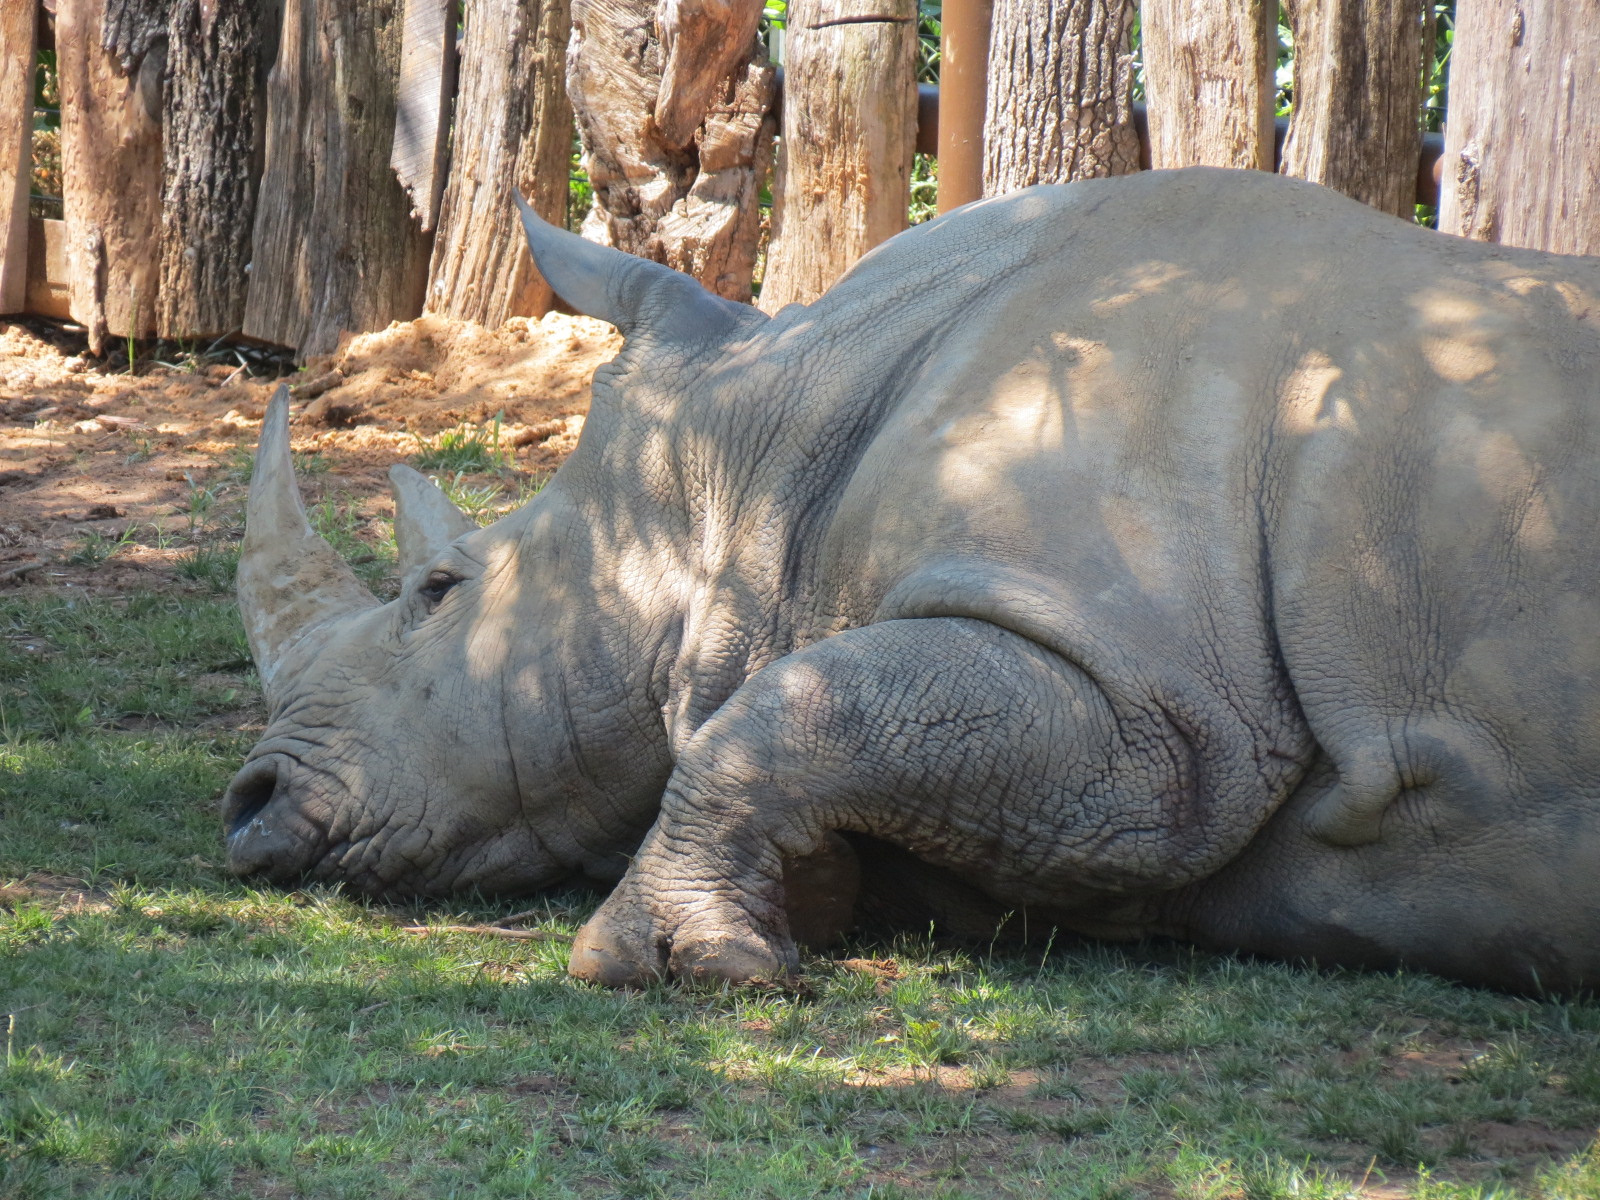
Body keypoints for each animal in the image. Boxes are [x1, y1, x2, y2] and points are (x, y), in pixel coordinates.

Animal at [223, 167, 1600, 994]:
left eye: (438, 591)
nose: (249, 801)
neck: (757, 450)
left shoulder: (1154, 714)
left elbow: (791, 712)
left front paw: (672, 964)